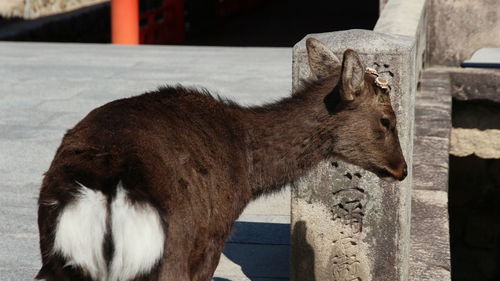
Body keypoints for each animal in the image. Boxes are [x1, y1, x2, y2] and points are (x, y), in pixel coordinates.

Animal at [38, 37, 406, 280]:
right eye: (387, 120)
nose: (401, 169)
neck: (249, 169)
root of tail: (109, 190)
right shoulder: (213, 236)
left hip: (53, 258)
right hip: (170, 255)